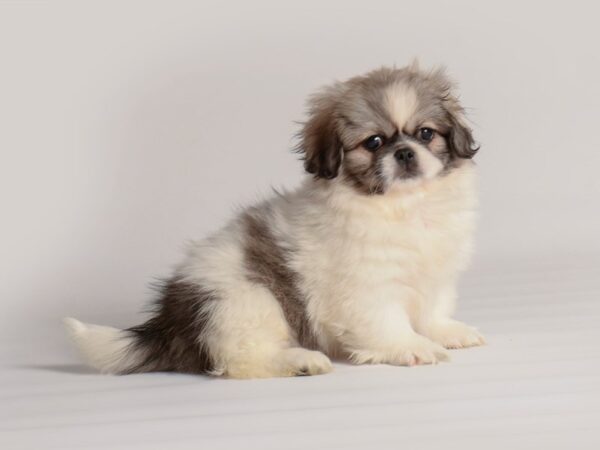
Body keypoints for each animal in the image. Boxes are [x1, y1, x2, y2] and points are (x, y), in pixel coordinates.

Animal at [65, 63, 486, 378]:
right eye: (374, 143)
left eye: (426, 134)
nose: (404, 153)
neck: (403, 206)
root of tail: (172, 318)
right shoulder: (368, 287)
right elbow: (386, 321)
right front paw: (410, 347)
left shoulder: (436, 276)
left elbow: (432, 310)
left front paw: (445, 332)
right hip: (248, 301)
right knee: (239, 359)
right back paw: (301, 361)